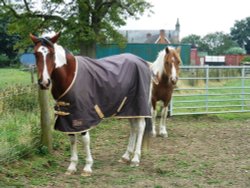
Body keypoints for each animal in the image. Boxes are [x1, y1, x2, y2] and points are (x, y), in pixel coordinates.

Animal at [30, 32, 152, 176]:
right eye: (35, 53)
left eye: (52, 53)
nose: (44, 82)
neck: (70, 75)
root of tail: (143, 62)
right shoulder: (68, 116)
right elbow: (72, 140)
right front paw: (72, 166)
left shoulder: (83, 116)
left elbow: (85, 140)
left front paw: (87, 167)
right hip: (129, 109)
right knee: (133, 127)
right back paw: (126, 156)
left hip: (139, 105)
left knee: (140, 127)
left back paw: (135, 159)